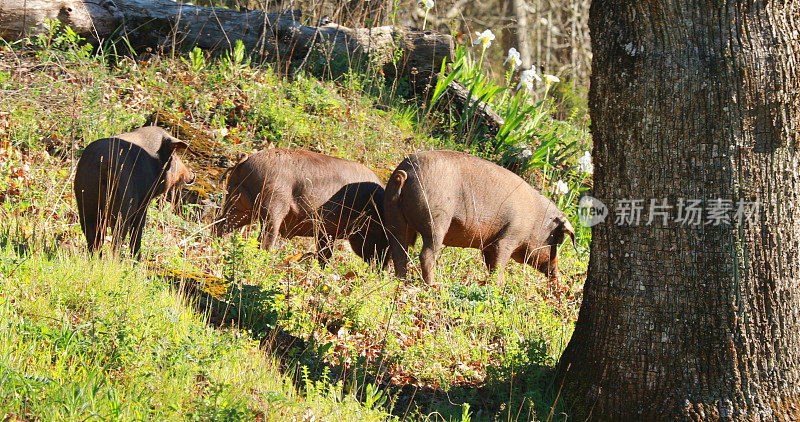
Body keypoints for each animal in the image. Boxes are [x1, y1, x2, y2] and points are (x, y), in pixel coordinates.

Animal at [73, 125, 195, 258]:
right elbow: (137, 233)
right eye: (174, 154)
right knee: (116, 242)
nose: (192, 175)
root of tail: (103, 164)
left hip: (86, 204)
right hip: (123, 207)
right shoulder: (143, 202)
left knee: (94, 241)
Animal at [211, 148, 390, 268]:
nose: (382, 268)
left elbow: (325, 255)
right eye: (385, 237)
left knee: (220, 225)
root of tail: (245, 159)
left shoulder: (326, 231)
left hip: (237, 202)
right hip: (273, 204)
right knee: (264, 239)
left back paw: (216, 247)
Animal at [384, 150, 572, 286]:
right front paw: (498, 288)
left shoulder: (488, 244)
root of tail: (405, 173)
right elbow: (499, 265)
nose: (557, 275)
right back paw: (433, 286)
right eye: (556, 239)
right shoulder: (509, 236)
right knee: (426, 254)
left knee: (399, 249)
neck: (536, 220)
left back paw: (400, 281)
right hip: (436, 220)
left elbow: (491, 266)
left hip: (394, 217)